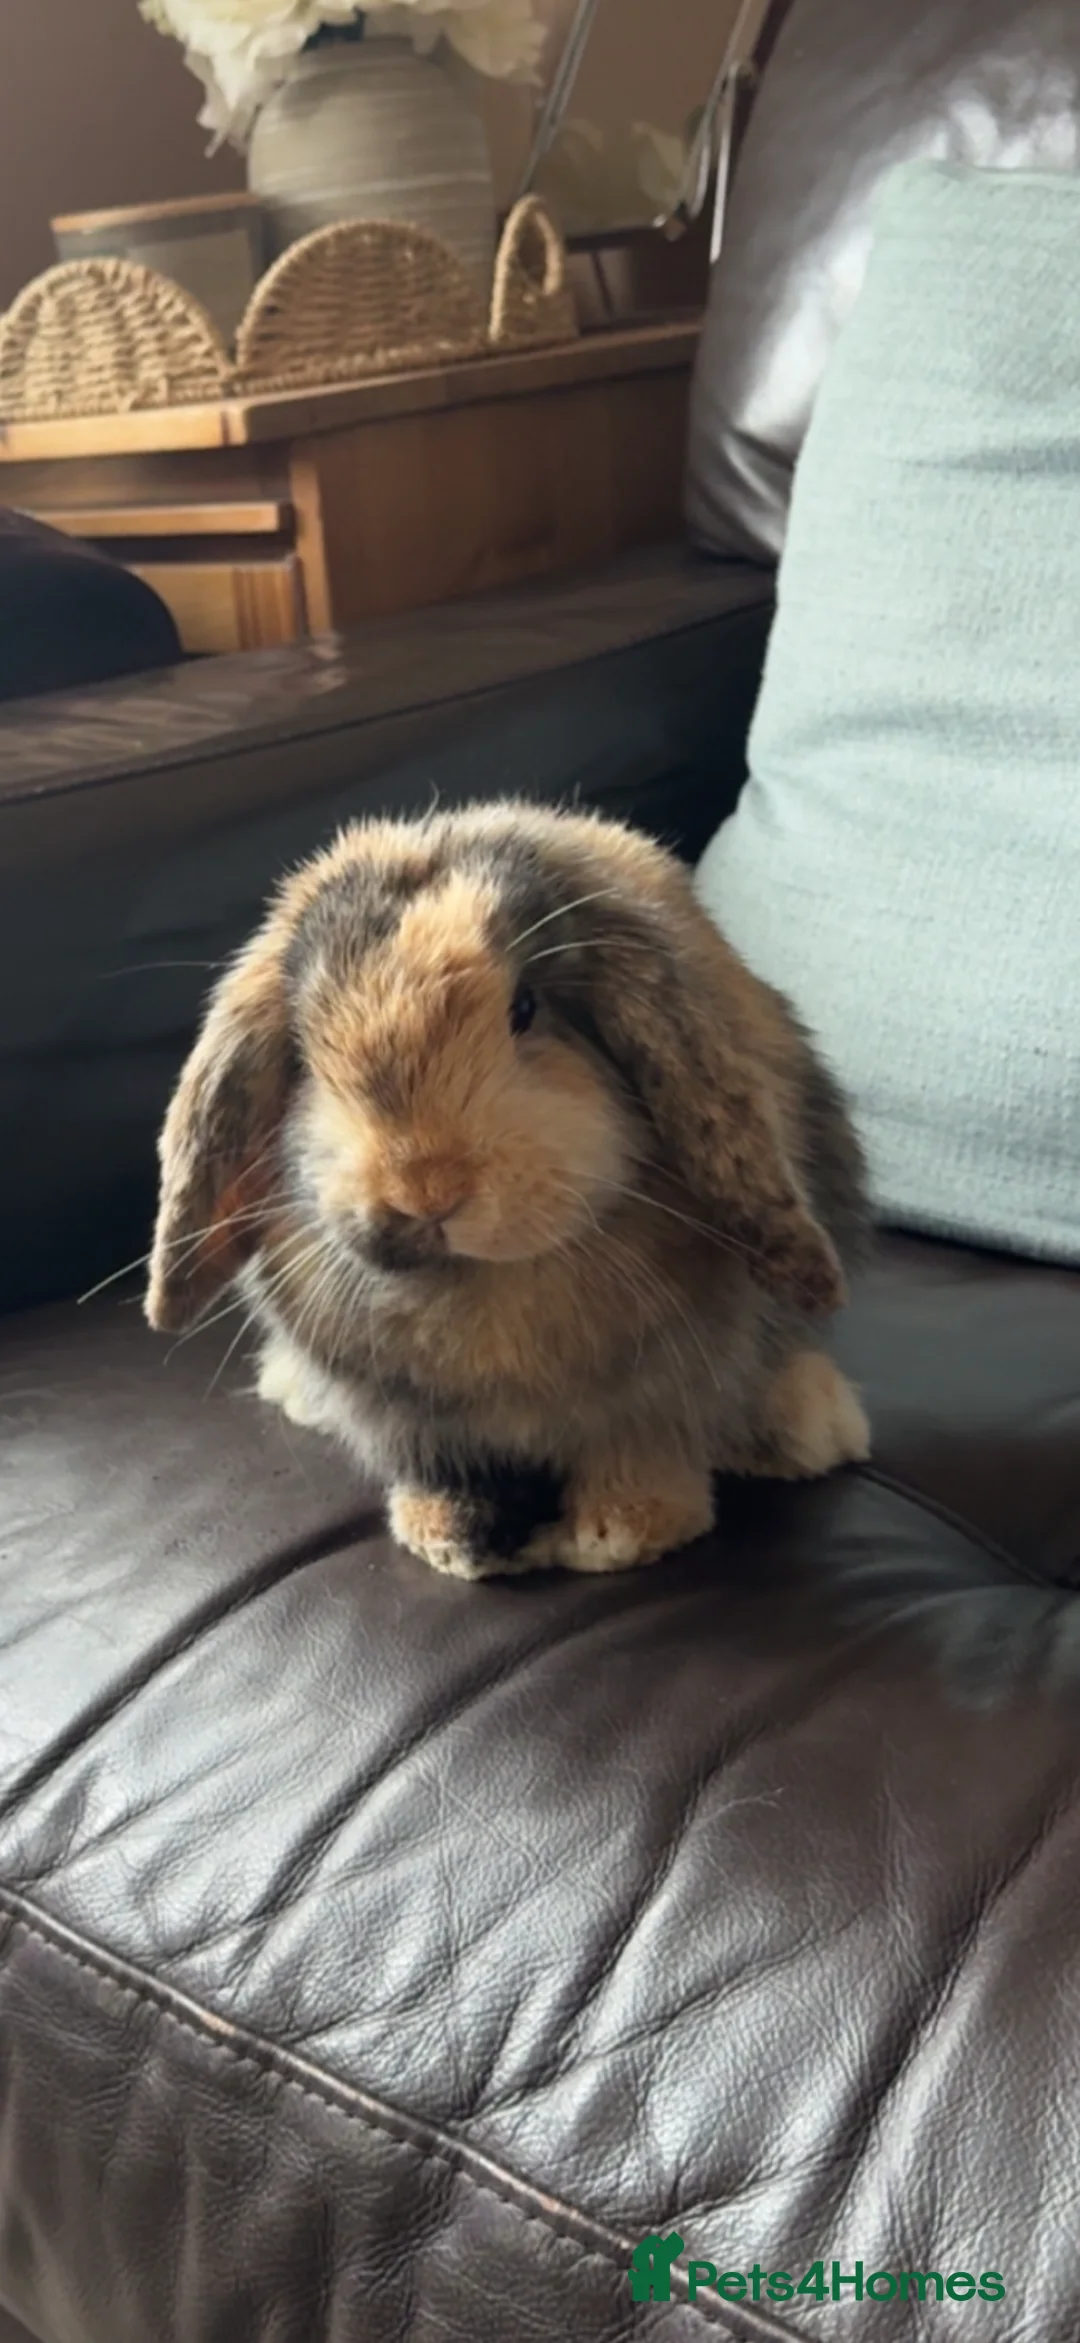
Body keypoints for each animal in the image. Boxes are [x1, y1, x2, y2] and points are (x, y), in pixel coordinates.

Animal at [145, 801, 871, 1579]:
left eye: (525, 1008)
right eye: (308, 1054)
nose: (424, 1190)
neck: (482, 1287)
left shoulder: (660, 1393)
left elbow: (639, 1455)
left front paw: (621, 1532)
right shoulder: (412, 1421)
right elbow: (447, 1472)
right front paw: (451, 1537)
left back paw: (809, 1428)